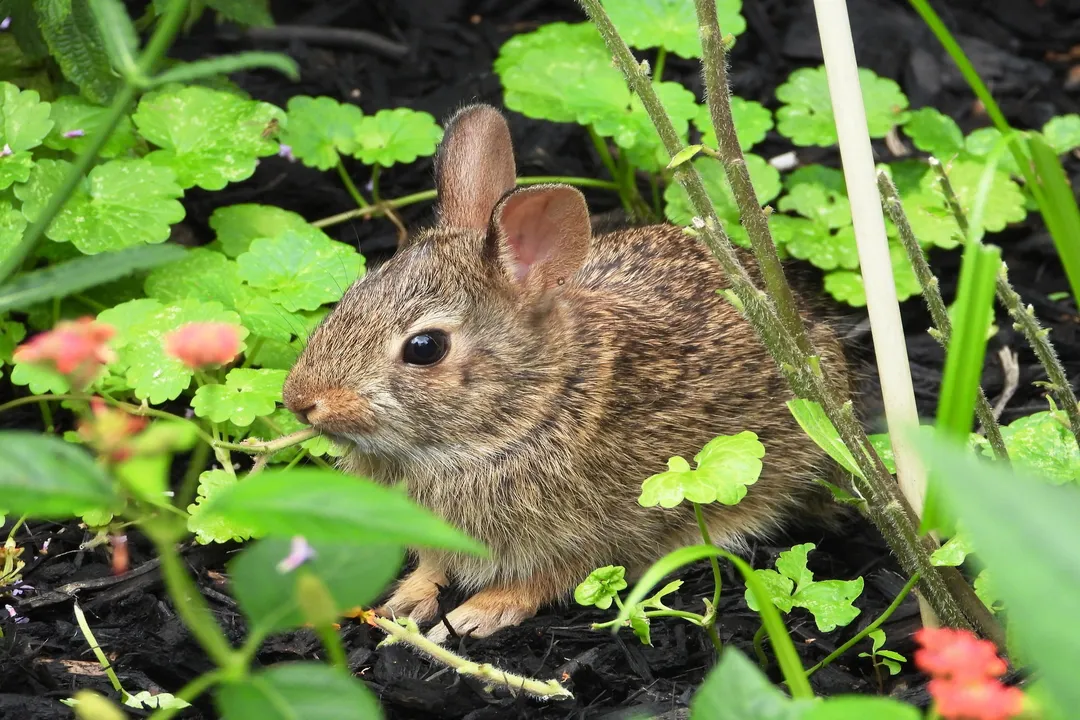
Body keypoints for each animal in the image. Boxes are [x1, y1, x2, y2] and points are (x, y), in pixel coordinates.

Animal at [282, 103, 852, 644]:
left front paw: (472, 617)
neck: (530, 411)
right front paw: (404, 602)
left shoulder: (596, 534)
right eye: (352, 294)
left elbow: (542, 580)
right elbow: (433, 564)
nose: (300, 400)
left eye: (425, 348)